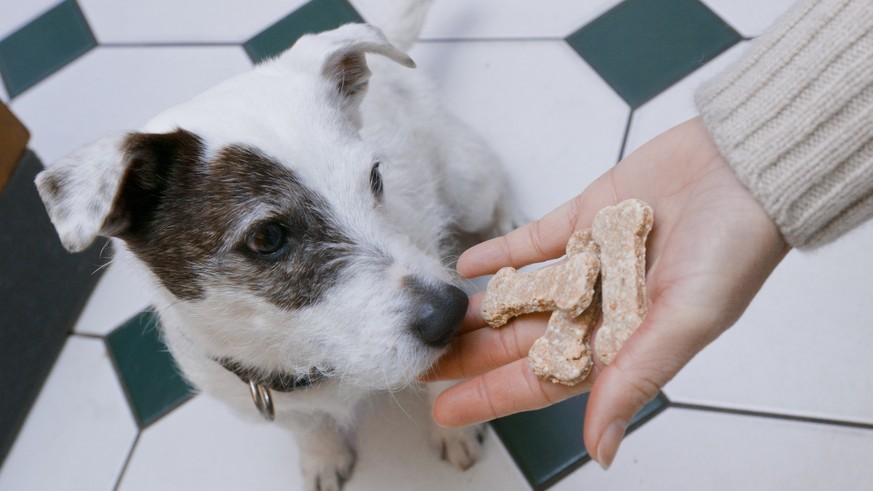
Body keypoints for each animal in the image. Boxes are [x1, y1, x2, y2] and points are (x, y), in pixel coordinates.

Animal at [35, 1, 516, 490]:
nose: (451, 312)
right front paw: (323, 456)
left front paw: (453, 430)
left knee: (492, 194)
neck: (315, 362)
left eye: (375, 178)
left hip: (467, 184)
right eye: (267, 237)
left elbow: (443, 384)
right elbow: (308, 426)